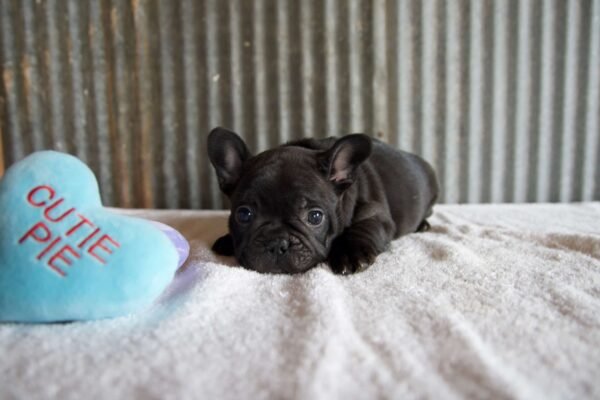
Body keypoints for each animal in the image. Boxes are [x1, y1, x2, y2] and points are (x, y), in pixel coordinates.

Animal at [209, 128, 438, 276]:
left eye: (315, 217)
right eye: (243, 214)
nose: (276, 243)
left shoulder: (375, 213)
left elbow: (363, 228)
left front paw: (350, 253)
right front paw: (227, 240)